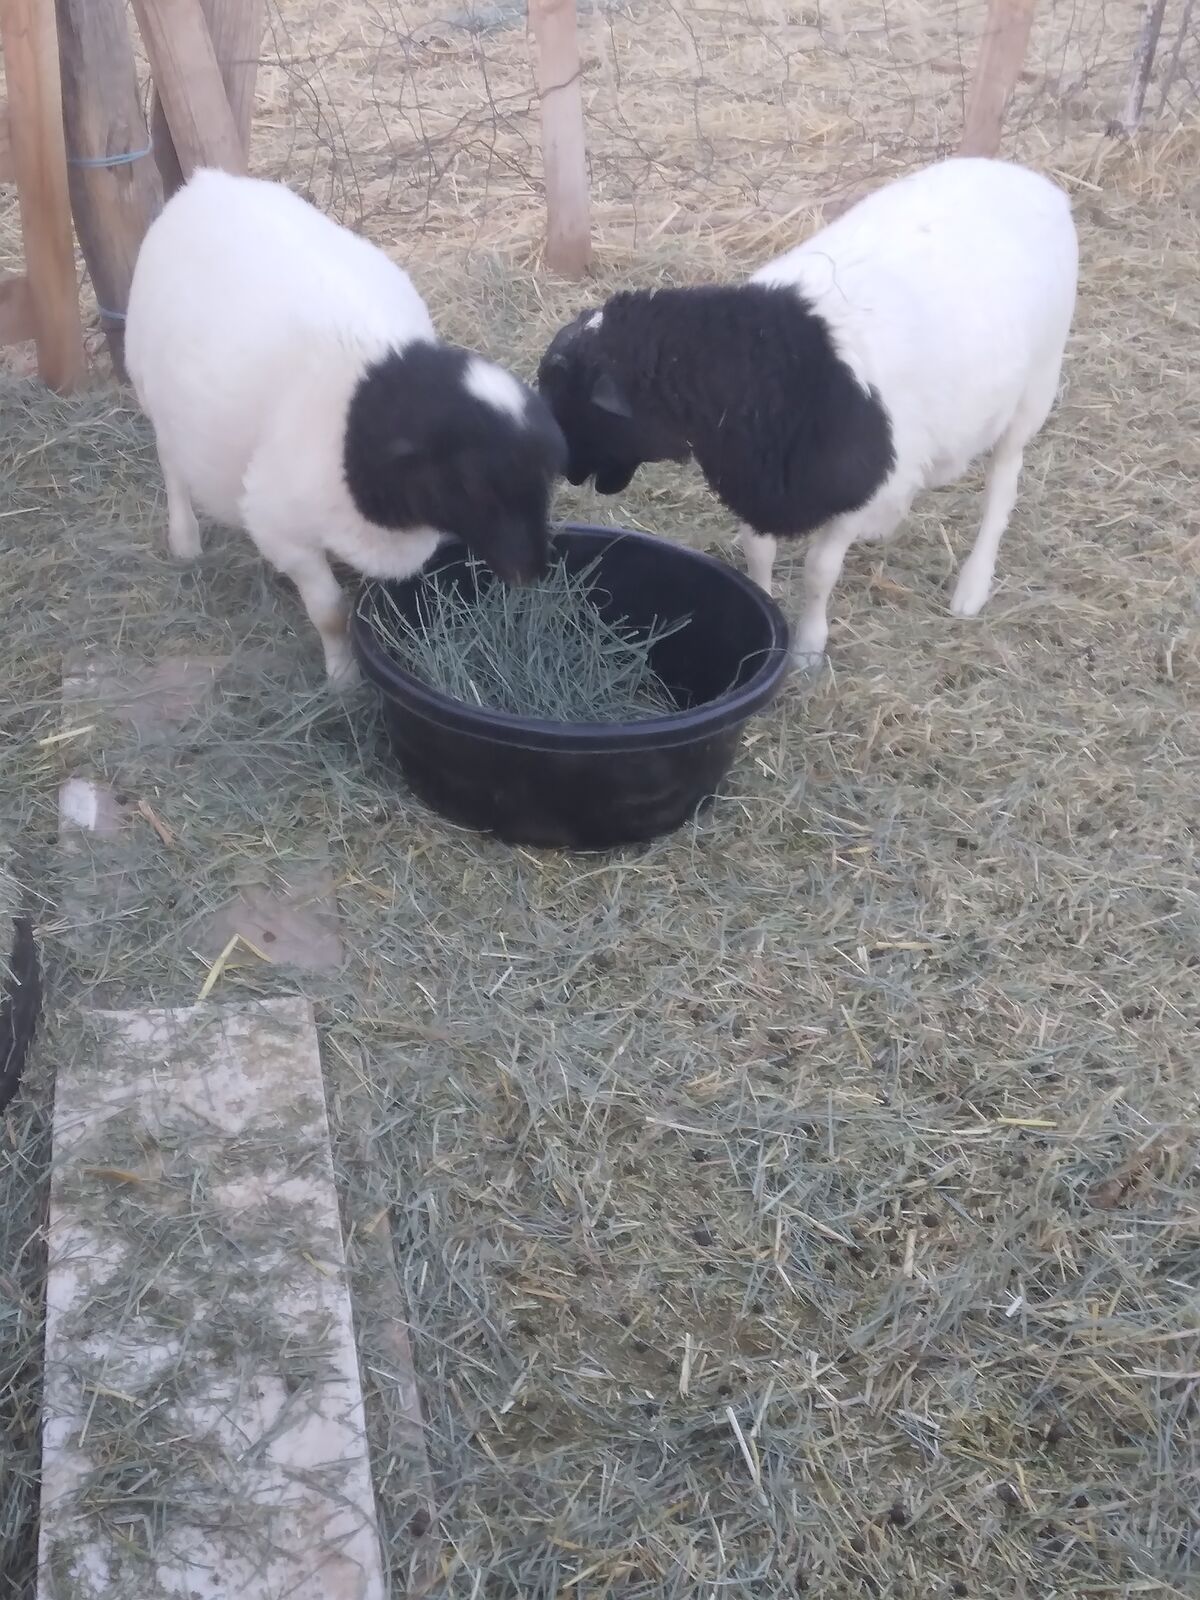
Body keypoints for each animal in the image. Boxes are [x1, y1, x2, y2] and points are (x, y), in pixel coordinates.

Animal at [125, 168, 566, 683]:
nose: (534, 571)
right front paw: (342, 677)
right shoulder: (282, 529)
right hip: (150, 388)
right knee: (171, 465)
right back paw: (185, 541)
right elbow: (332, 613)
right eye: (473, 483)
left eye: (548, 479)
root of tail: (204, 182)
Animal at [537, 156, 1078, 664]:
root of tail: (1026, 176)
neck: (765, 361)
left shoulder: (847, 486)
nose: (564, 471)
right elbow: (758, 552)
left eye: (575, 402)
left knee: (1002, 483)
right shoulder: (757, 480)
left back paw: (972, 585)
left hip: (1036, 387)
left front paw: (808, 649)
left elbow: (820, 571)